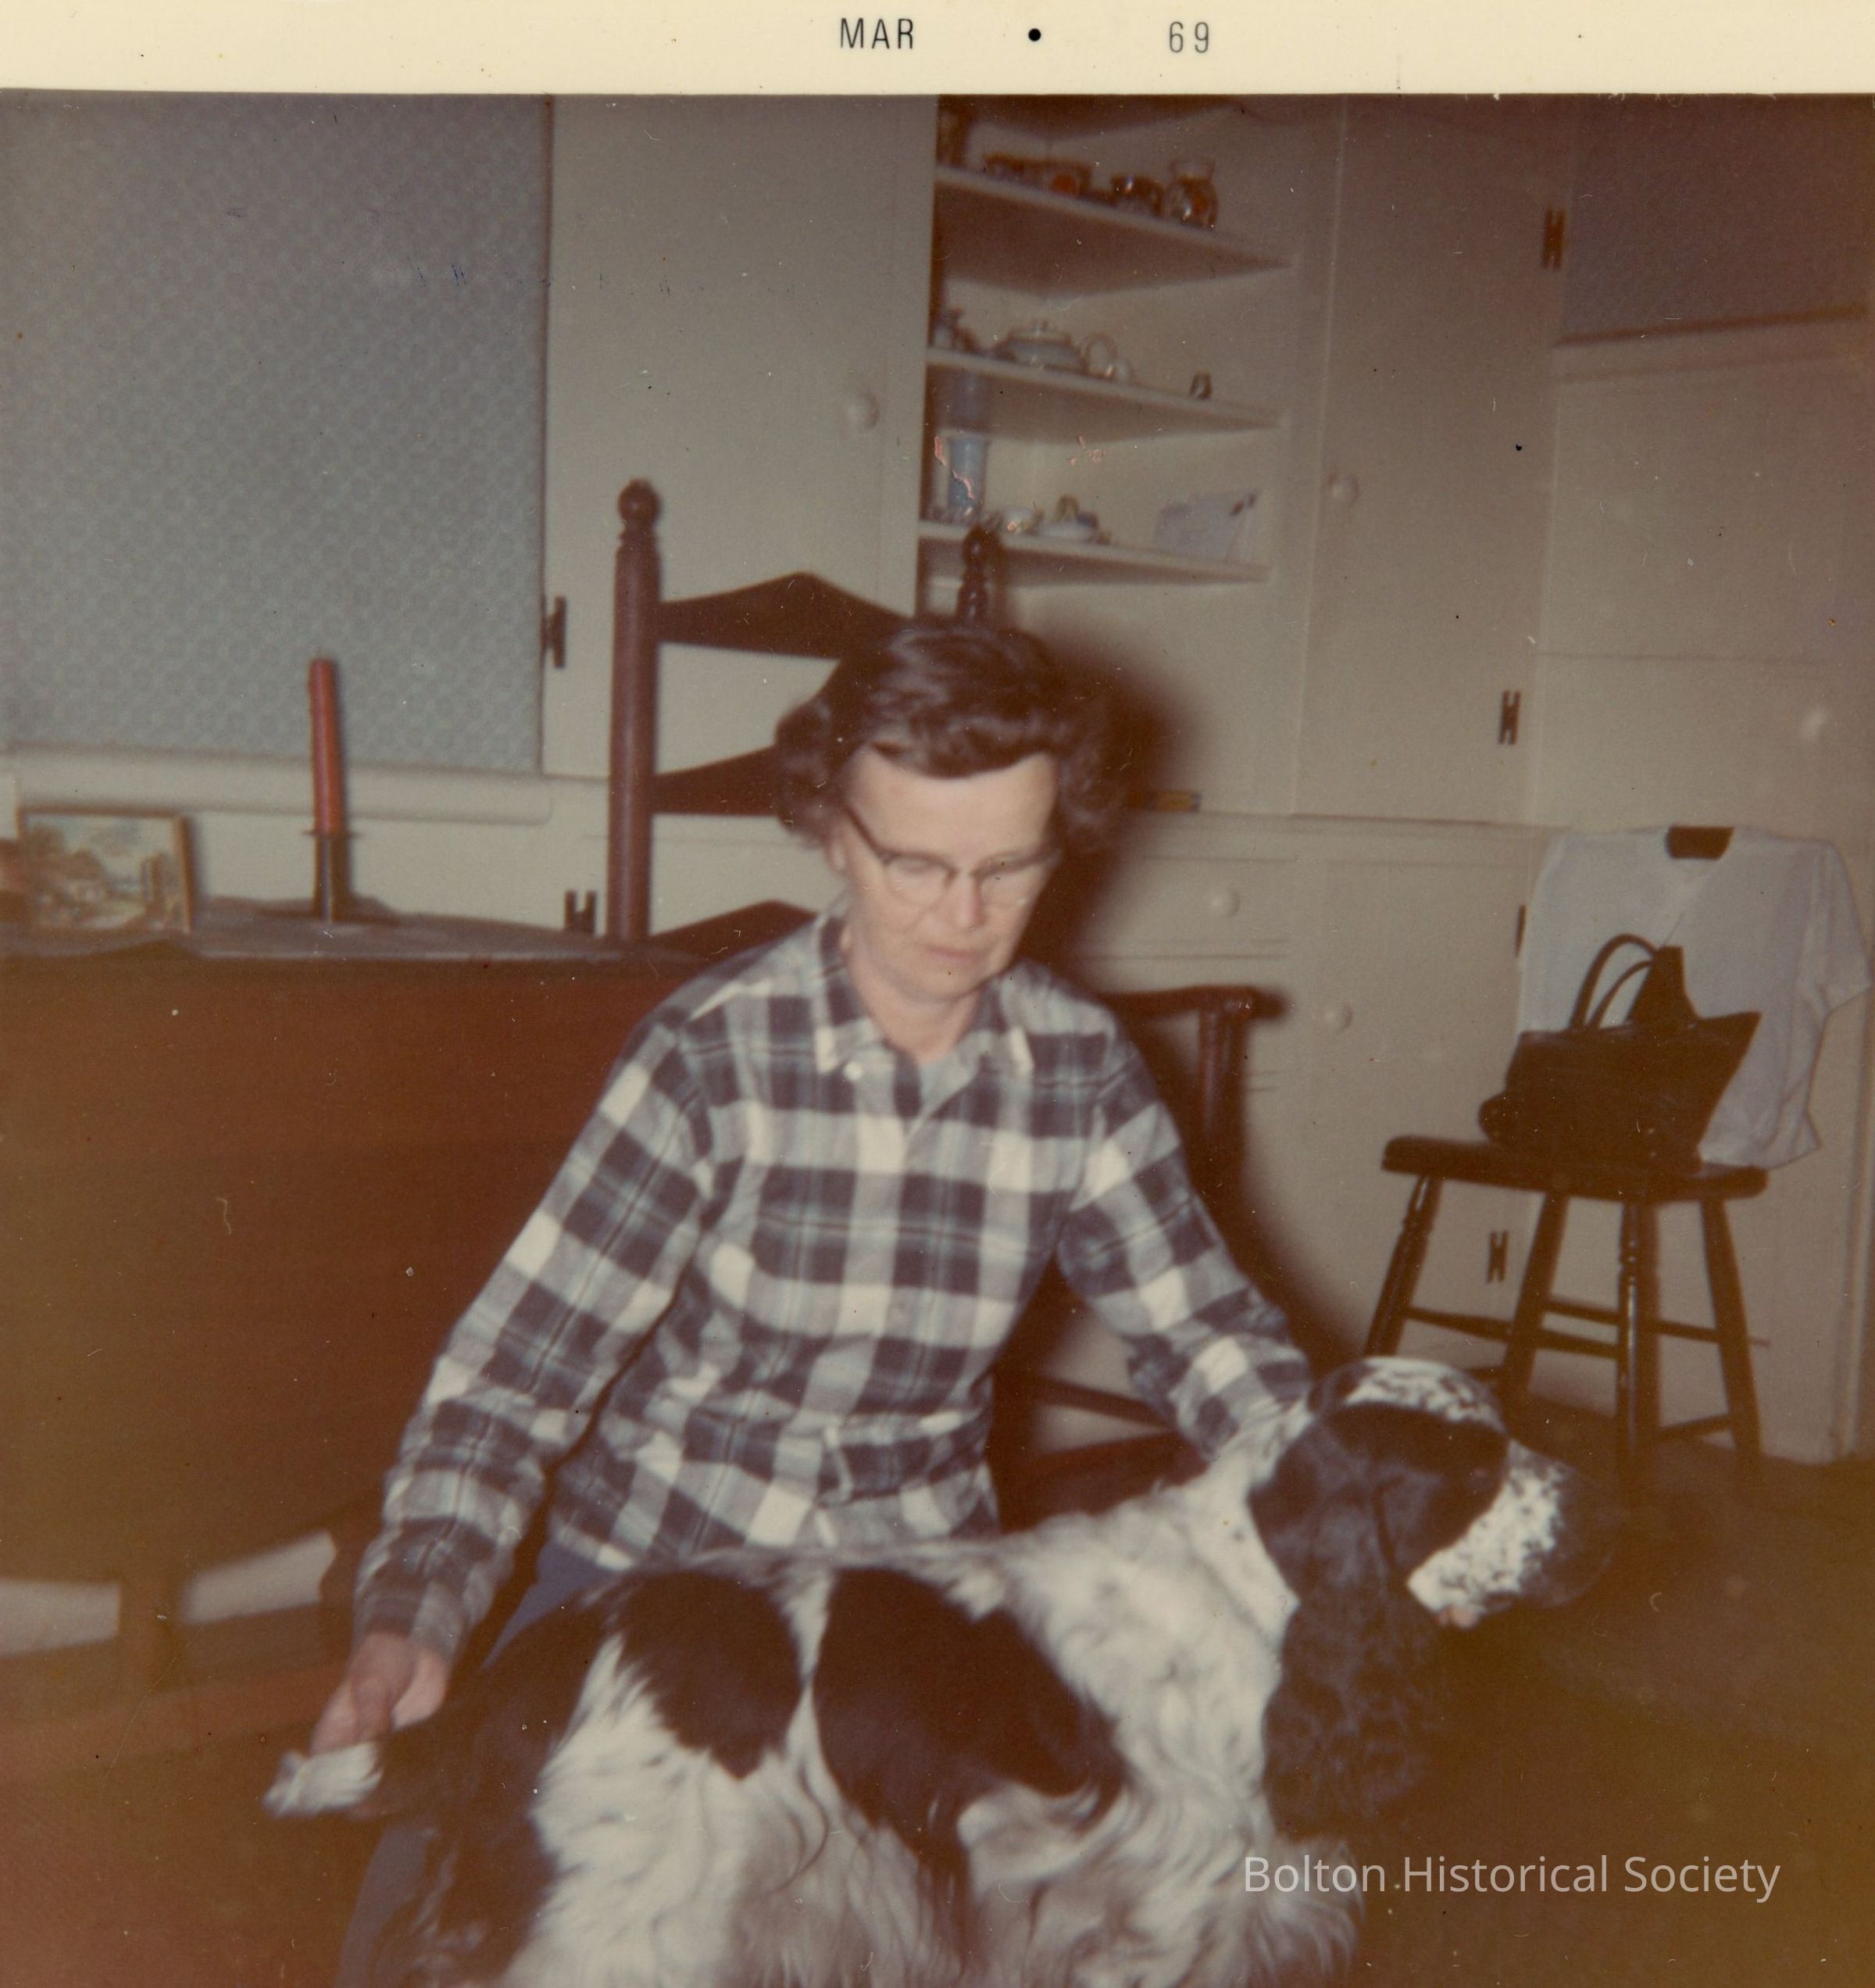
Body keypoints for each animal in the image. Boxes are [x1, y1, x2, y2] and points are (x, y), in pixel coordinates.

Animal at [269, 1357, 1615, 1987]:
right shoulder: (1157, 1925)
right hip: (617, 1927)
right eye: (1474, 1470)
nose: (1613, 1513)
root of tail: (531, 1669)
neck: (1262, 1592)